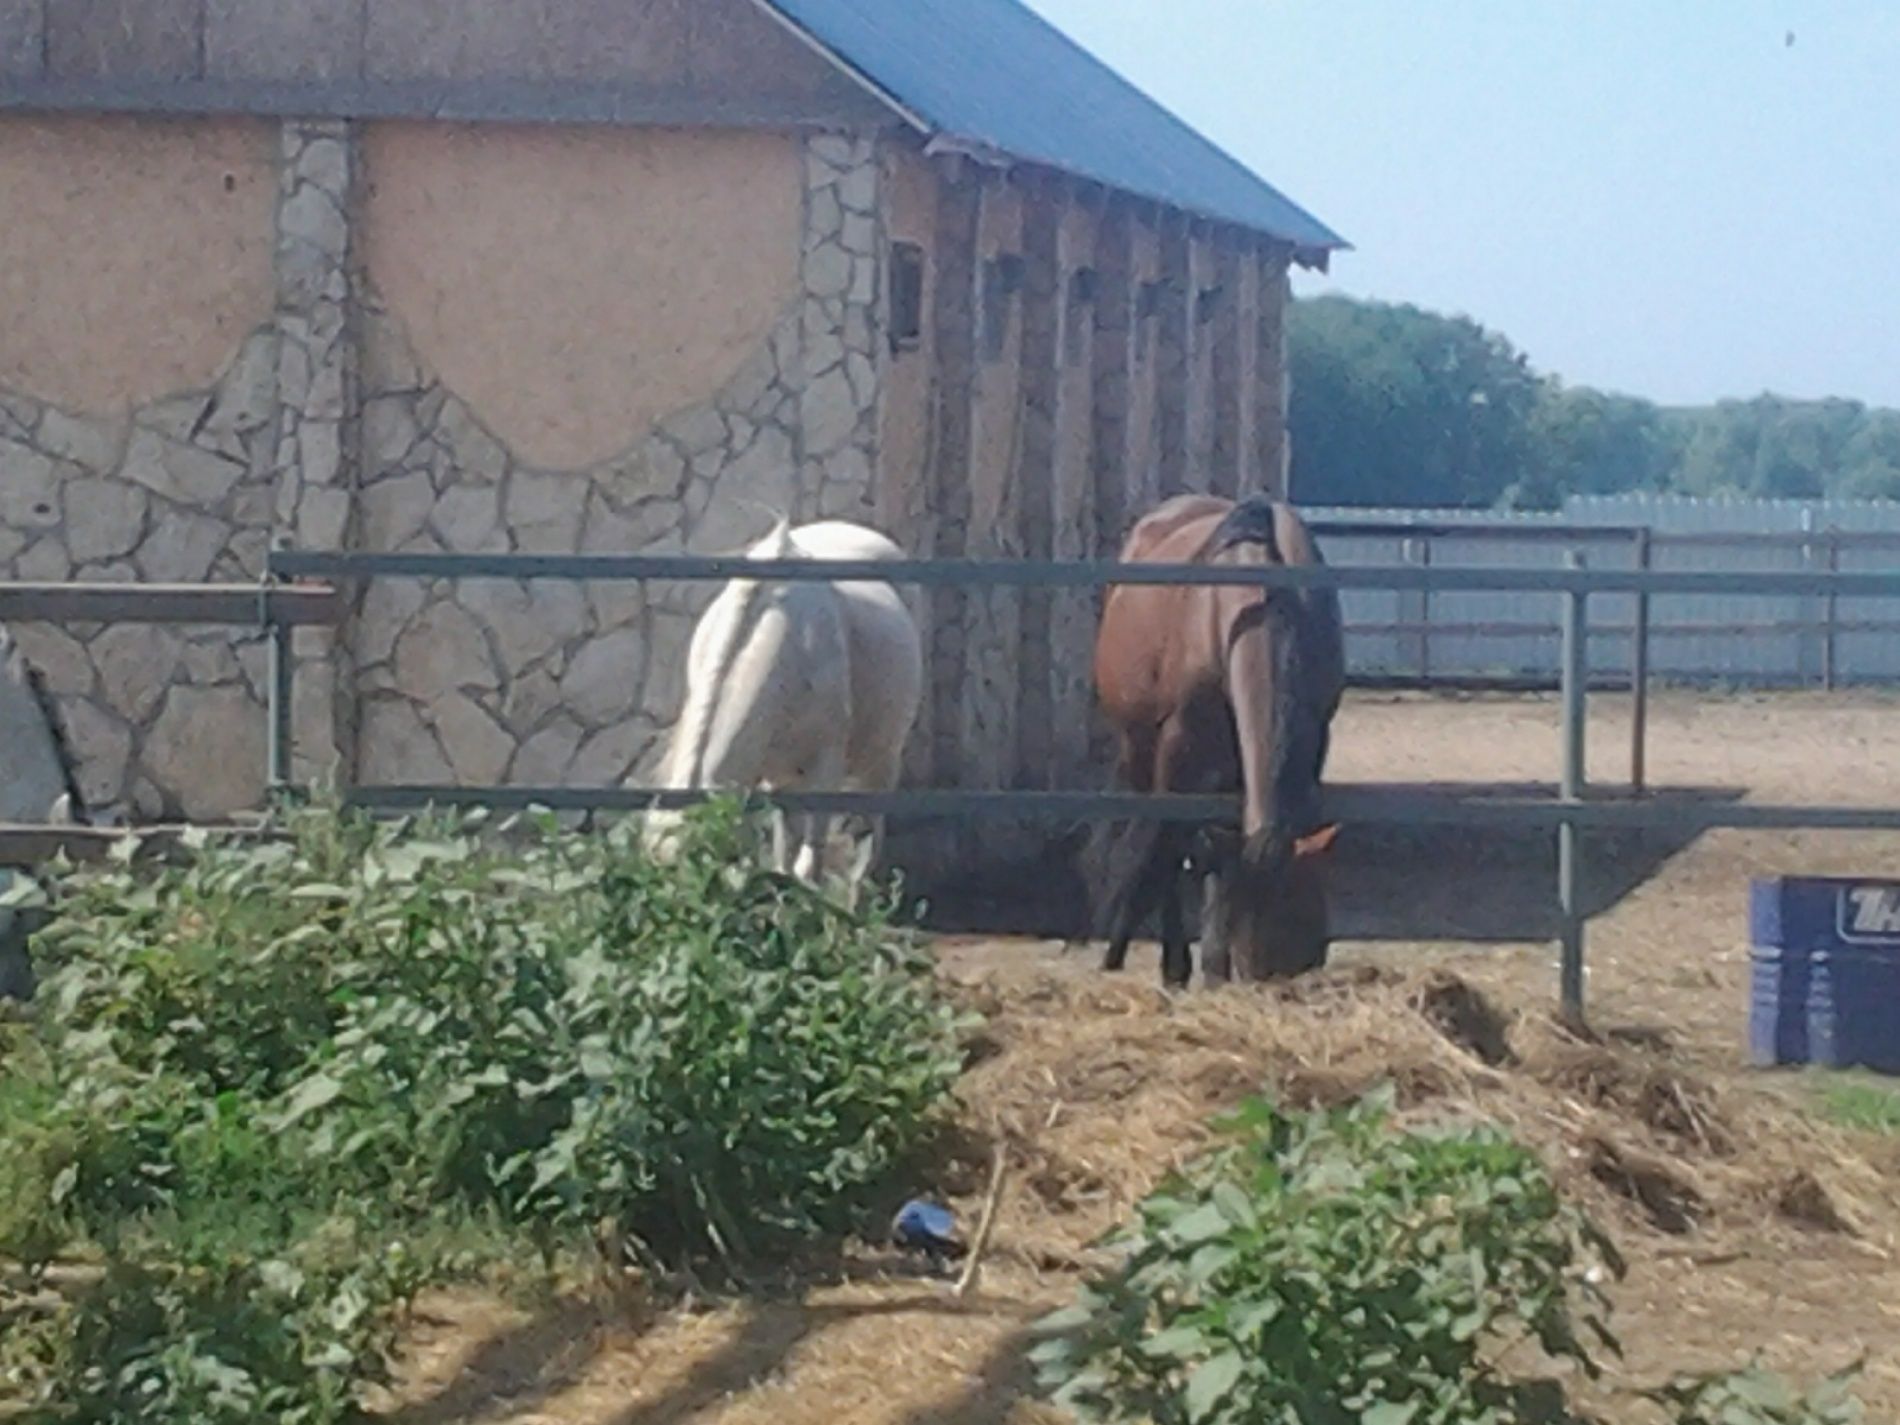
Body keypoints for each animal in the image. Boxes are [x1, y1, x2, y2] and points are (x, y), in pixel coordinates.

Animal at [1094, 497, 1345, 988]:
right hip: (1139, 748)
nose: (1271, 973)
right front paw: (1187, 964)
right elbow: (1178, 846)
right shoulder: (1180, 751)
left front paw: (1212, 963)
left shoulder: (1312, 738)